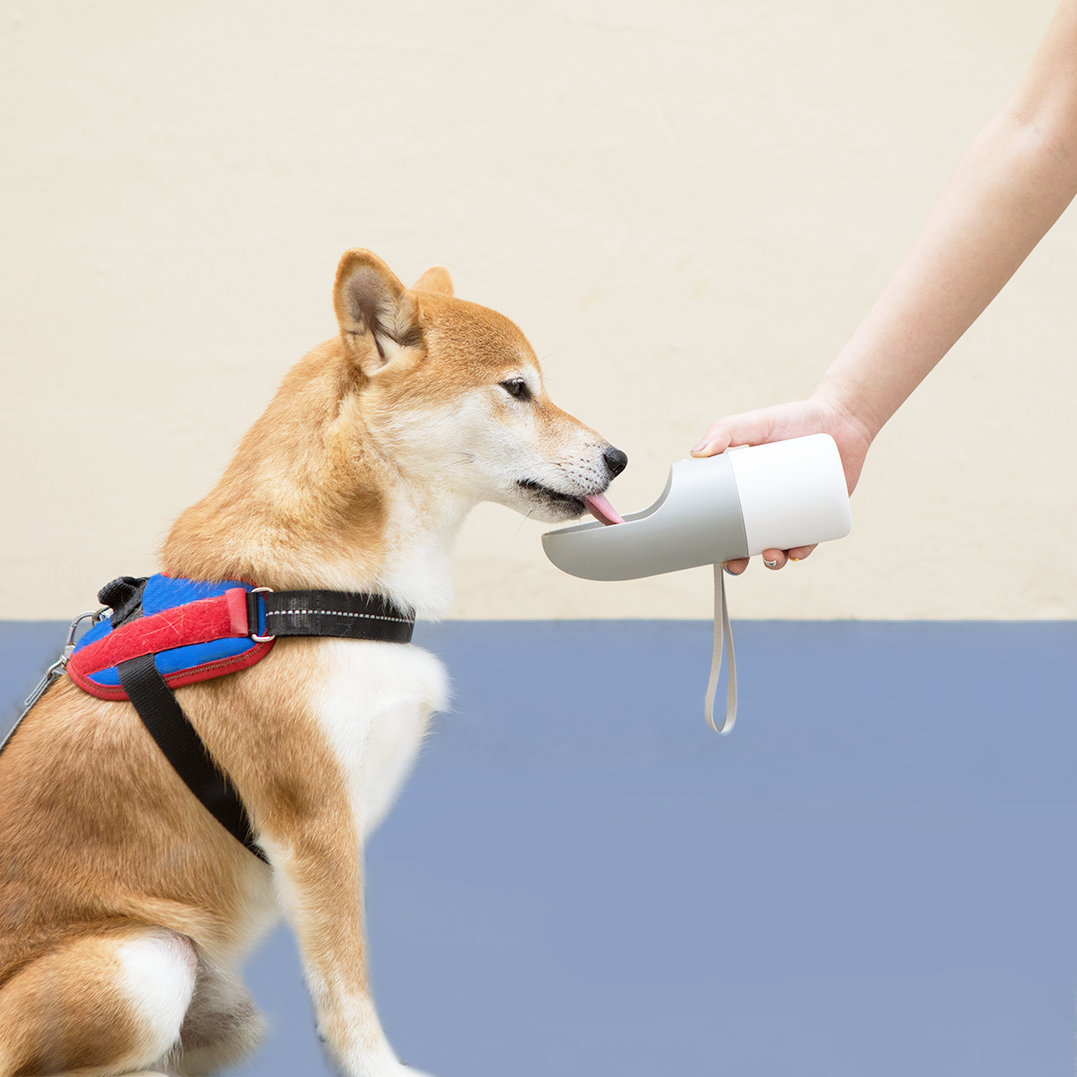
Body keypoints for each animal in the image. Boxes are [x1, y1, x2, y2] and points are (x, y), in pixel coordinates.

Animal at [0, 252, 624, 1077]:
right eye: (517, 388)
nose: (620, 458)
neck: (290, 593)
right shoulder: (315, 828)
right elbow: (346, 988)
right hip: (147, 962)